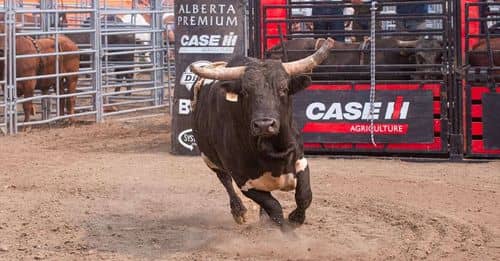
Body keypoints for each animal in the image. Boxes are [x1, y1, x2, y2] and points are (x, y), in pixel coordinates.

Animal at [191, 38, 336, 230]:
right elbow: (274, 207)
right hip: (209, 158)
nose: (264, 125)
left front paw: (296, 218)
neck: (272, 149)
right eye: (245, 92)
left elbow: (304, 195)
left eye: (283, 89)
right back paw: (239, 211)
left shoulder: (300, 160)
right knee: (224, 179)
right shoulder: (243, 180)